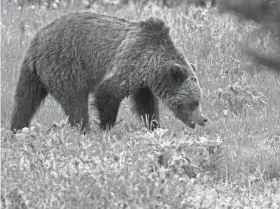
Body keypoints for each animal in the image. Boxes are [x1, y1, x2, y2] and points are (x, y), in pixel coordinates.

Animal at [10, 11, 208, 132]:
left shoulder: (143, 81)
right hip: (65, 64)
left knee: (25, 101)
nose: (204, 119)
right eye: (195, 102)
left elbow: (146, 104)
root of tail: (38, 39)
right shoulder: (131, 61)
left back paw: (17, 128)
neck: (152, 65)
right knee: (75, 100)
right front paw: (106, 127)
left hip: (33, 73)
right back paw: (84, 129)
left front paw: (154, 126)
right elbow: (108, 91)